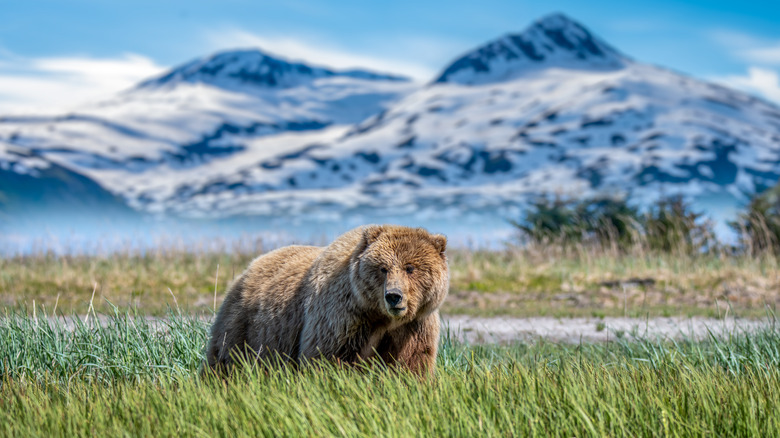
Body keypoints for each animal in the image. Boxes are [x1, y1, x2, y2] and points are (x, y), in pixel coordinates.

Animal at [204, 226, 448, 372]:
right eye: (383, 268)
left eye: (410, 268)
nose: (394, 296)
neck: (380, 317)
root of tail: (250, 266)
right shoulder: (342, 316)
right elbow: (327, 358)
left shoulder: (414, 326)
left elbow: (411, 363)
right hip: (248, 327)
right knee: (225, 358)